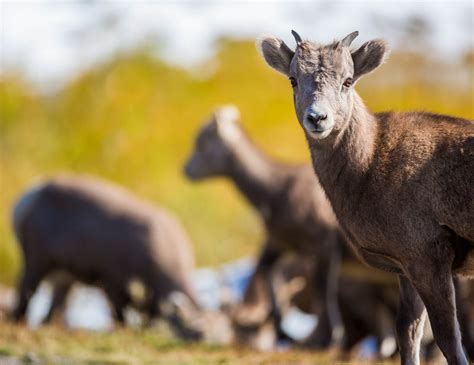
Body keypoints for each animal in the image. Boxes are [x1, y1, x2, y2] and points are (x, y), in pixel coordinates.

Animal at [184, 106, 400, 352]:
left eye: (203, 141)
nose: (186, 170)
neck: (277, 190)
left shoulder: (324, 247)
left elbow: (322, 291)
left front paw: (327, 340)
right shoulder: (281, 245)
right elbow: (270, 276)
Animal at [260, 29, 474, 362]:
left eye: (348, 80)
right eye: (293, 79)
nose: (317, 119)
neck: (371, 161)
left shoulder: (429, 262)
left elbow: (448, 338)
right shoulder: (406, 269)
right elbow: (407, 332)